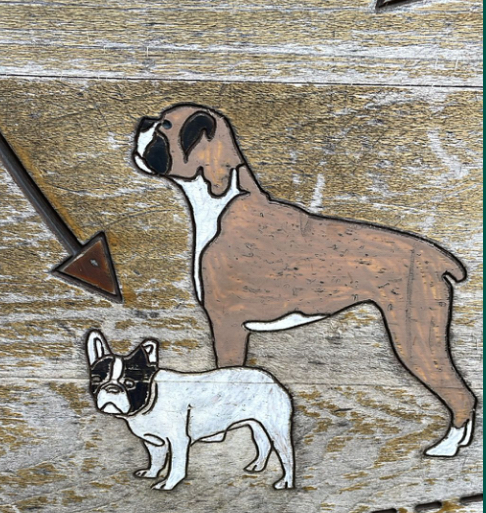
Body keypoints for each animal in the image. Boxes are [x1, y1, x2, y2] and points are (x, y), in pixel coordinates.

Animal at [86, 330, 295, 490]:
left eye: (130, 383)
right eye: (97, 380)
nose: (112, 389)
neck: (151, 398)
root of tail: (272, 379)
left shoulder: (178, 440)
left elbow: (176, 464)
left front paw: (167, 484)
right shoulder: (153, 442)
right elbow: (156, 459)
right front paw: (151, 473)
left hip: (276, 428)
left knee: (287, 455)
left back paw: (286, 482)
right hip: (256, 424)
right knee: (263, 444)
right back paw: (257, 466)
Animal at [132, 103, 477, 458]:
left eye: (165, 127)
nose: (142, 121)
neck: (220, 202)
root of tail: (437, 256)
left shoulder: (226, 326)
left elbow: (226, 378)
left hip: (414, 336)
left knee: (461, 393)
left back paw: (447, 447)